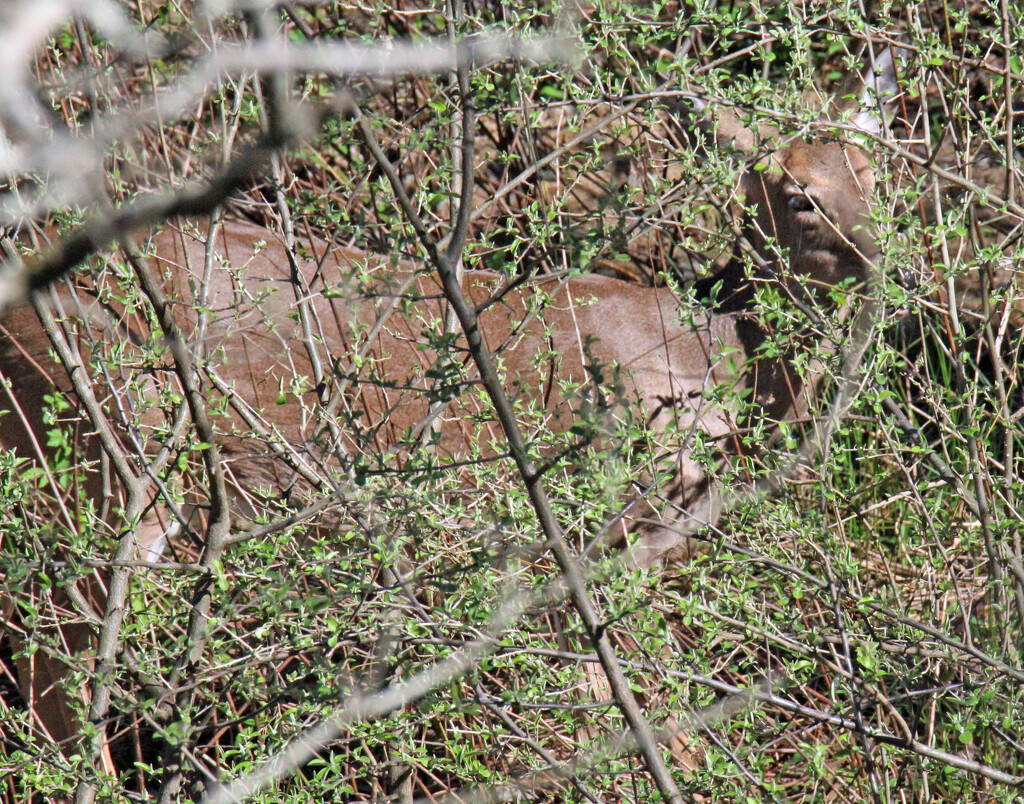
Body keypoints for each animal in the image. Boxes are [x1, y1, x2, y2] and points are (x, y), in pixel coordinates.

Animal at [0, 54, 888, 770]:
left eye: (876, 175)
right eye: (800, 196)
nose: (881, 255)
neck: (705, 358)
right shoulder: (591, 524)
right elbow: (614, 698)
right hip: (111, 449)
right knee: (58, 659)